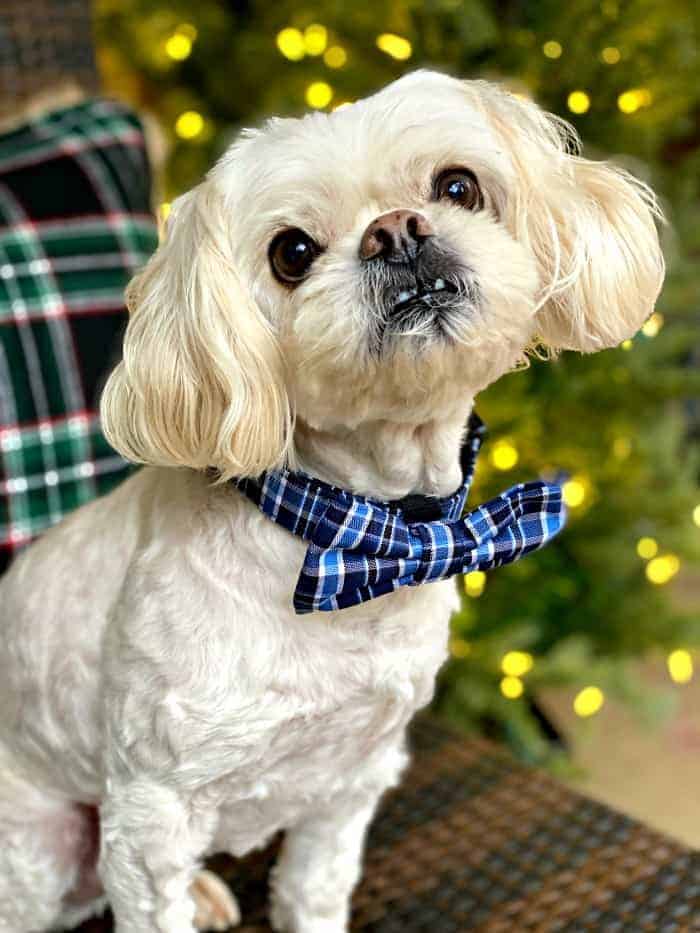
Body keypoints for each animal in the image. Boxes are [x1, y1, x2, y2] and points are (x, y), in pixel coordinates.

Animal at [0, 73, 660, 932]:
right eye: (292, 252)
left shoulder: (352, 778)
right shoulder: (150, 816)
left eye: (458, 186)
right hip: (42, 837)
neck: (355, 531)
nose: (396, 232)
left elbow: (314, 890)